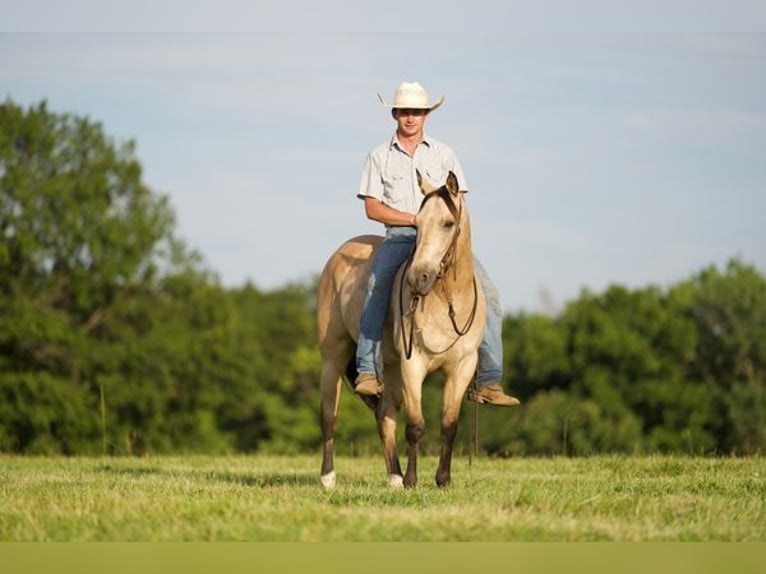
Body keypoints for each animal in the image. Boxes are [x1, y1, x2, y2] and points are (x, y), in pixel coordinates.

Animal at [316, 171, 486, 490]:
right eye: (416, 224)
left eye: (448, 223)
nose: (418, 278)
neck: (447, 300)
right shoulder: (413, 364)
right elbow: (416, 426)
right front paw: (411, 480)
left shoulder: (462, 366)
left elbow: (449, 425)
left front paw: (443, 480)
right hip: (333, 357)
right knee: (329, 415)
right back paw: (328, 477)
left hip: (391, 367)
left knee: (385, 415)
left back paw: (393, 476)